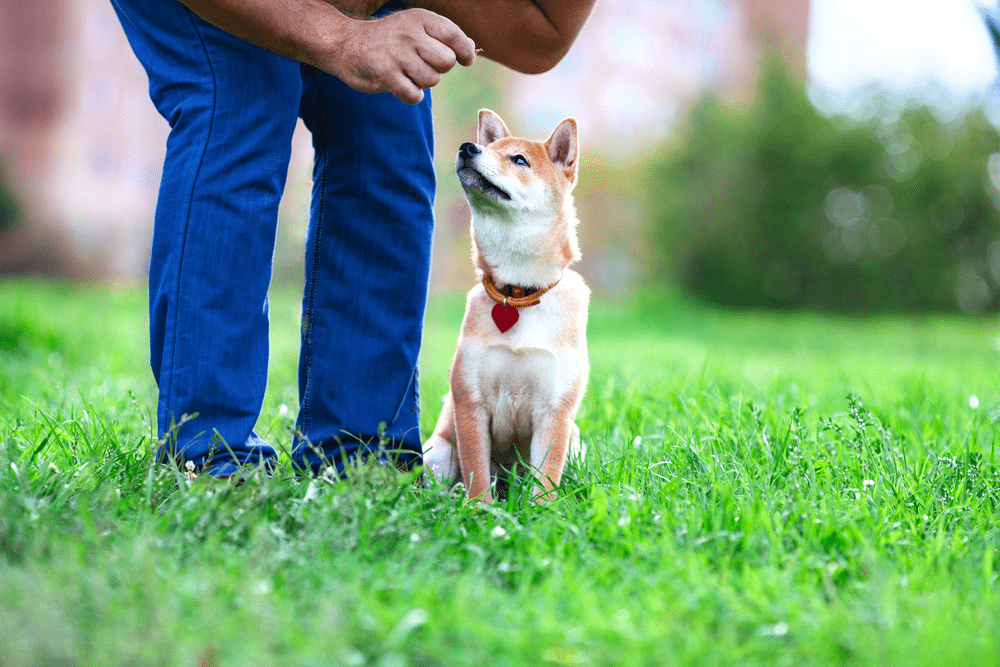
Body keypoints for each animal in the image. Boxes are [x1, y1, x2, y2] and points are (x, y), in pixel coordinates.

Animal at [420, 109, 588, 504]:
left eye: (519, 160)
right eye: (489, 147)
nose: (467, 148)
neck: (518, 292)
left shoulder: (555, 411)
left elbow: (546, 480)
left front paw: (542, 511)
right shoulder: (470, 402)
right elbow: (477, 472)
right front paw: (478, 510)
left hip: (576, 443)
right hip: (438, 453)